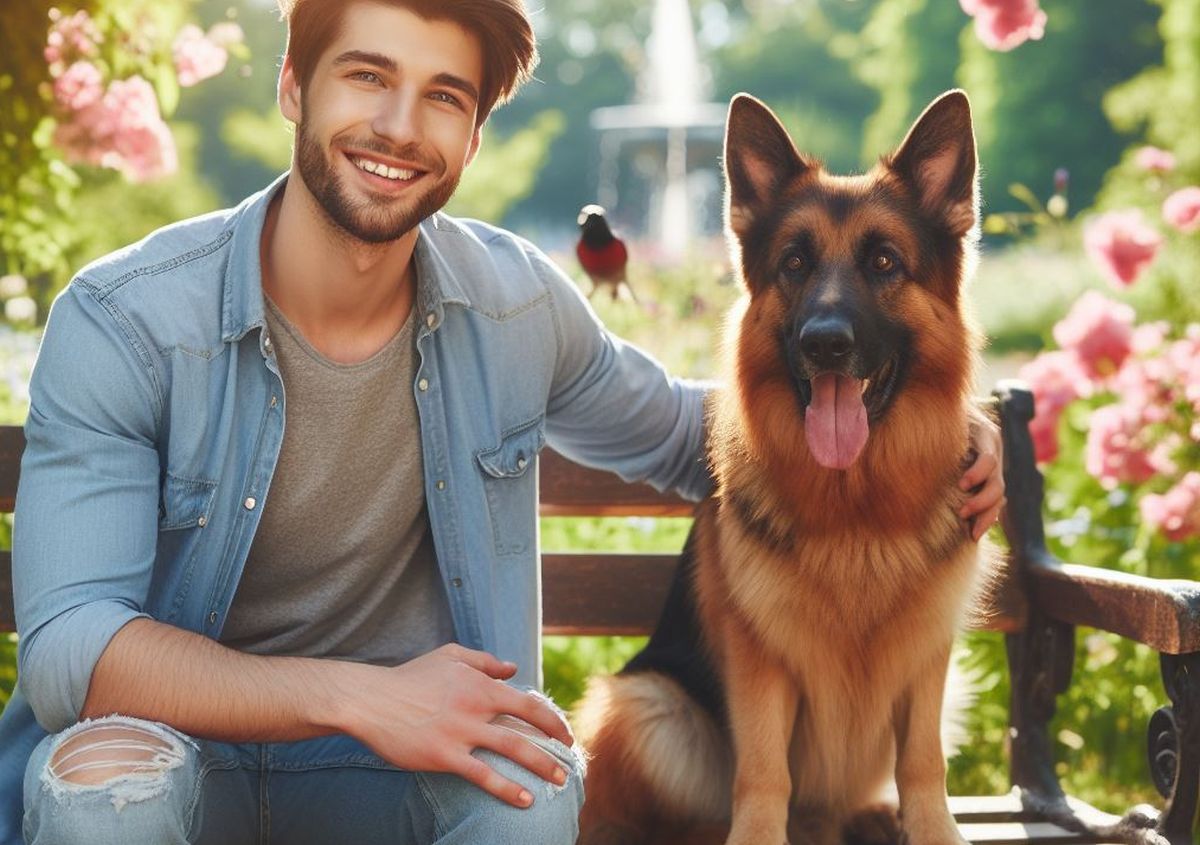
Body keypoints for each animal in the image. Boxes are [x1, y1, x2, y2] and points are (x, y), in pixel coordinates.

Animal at [576, 90, 988, 845]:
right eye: (794, 263)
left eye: (885, 262)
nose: (825, 344)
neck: (856, 509)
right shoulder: (761, 660)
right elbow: (764, 773)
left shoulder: (927, 655)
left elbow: (924, 764)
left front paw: (931, 829)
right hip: (649, 705)